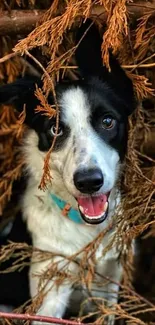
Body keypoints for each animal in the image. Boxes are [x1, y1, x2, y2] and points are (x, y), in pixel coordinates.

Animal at [0, 20, 136, 324]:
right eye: (55, 129)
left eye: (107, 121)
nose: (89, 182)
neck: (85, 232)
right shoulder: (50, 291)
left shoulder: (109, 285)